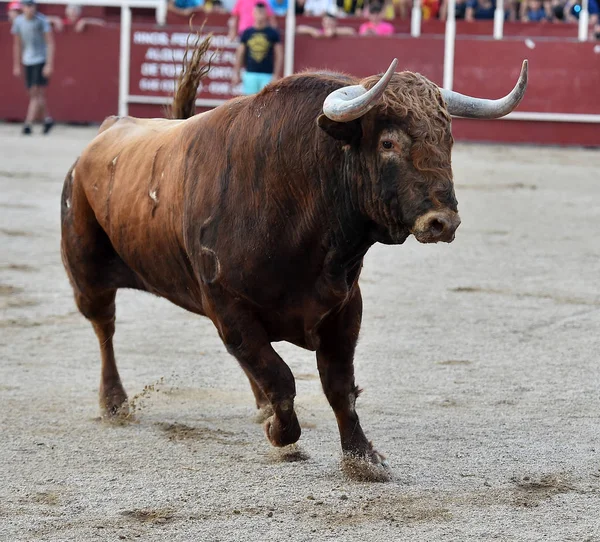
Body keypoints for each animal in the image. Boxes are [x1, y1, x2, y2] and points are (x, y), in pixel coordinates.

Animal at [58, 35, 524, 476]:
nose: (442, 221)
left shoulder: (344, 309)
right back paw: (114, 402)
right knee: (105, 327)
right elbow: (280, 377)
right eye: (388, 142)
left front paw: (362, 457)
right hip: (86, 273)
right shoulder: (229, 306)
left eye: (448, 139)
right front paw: (280, 433)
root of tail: (105, 134)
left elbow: (338, 386)